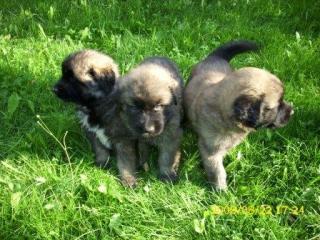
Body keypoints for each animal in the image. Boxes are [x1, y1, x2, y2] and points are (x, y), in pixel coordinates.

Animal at [184, 41, 294, 191]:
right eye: (277, 105)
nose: (292, 111)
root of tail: (215, 56)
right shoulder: (211, 152)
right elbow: (218, 172)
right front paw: (221, 190)